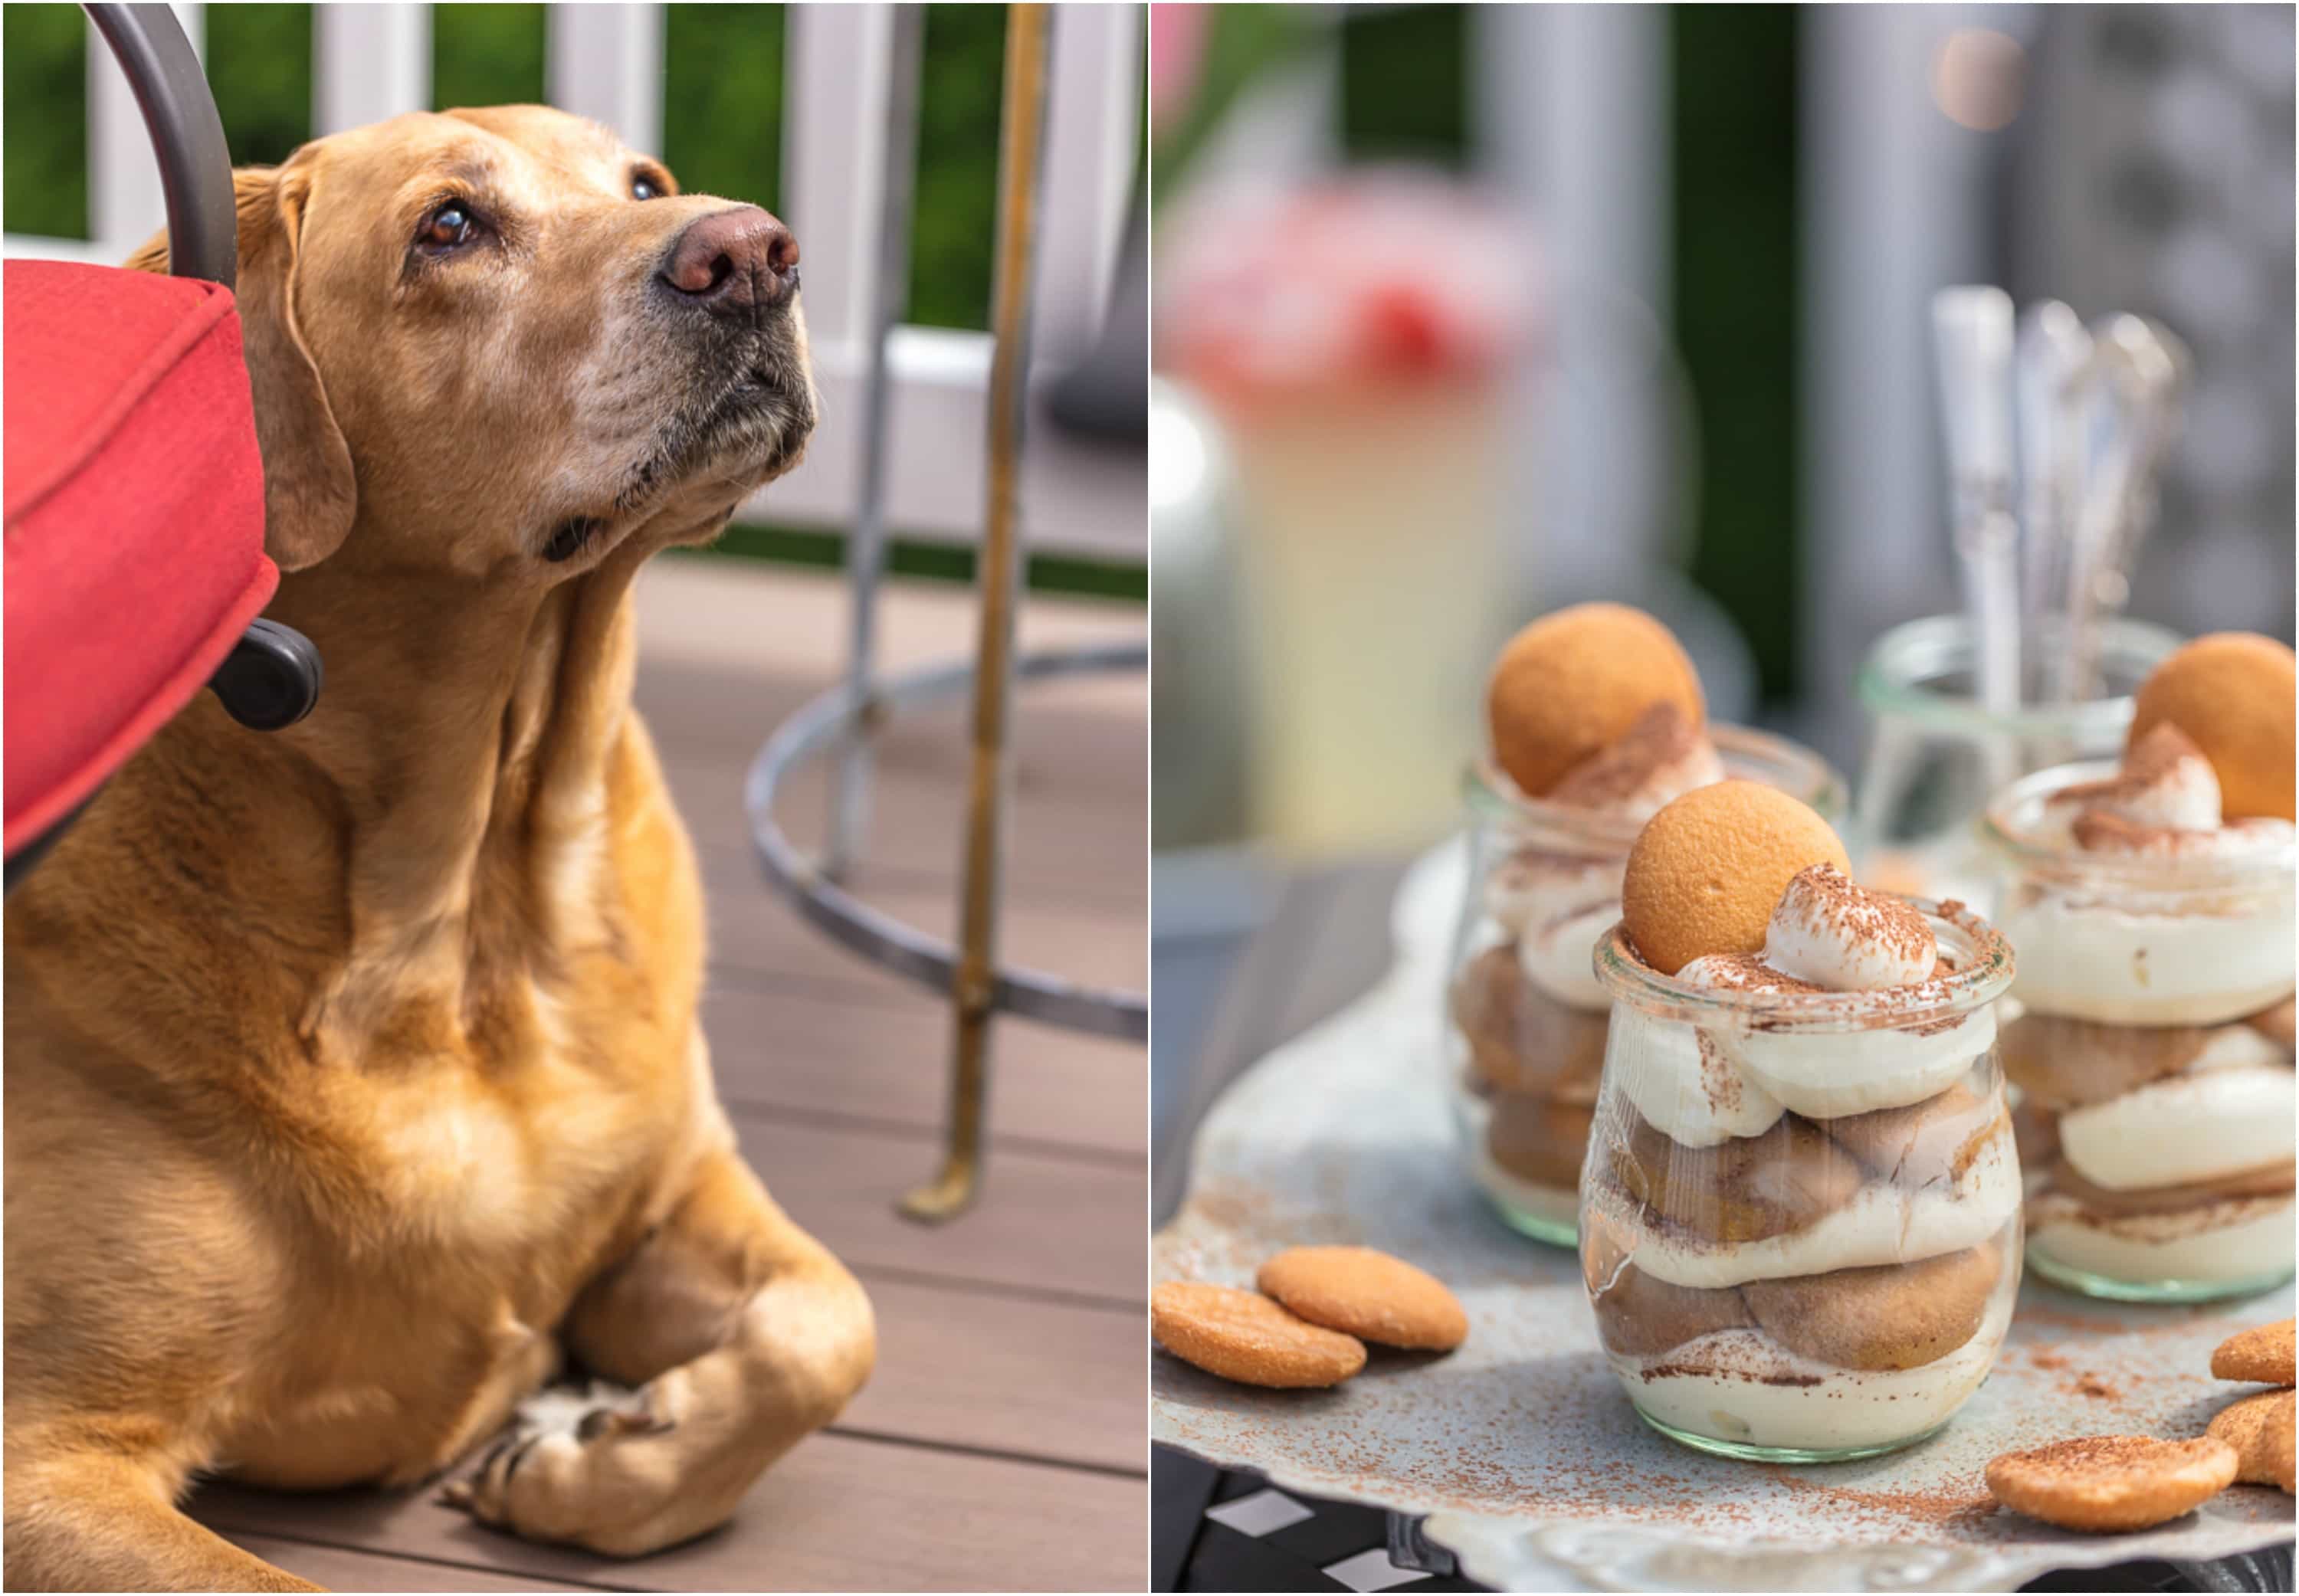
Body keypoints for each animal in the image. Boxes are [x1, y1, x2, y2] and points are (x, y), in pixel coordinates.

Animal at [2, 106, 869, 1591]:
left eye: (644, 181)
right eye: (448, 228)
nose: (751, 249)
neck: (474, 924)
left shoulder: (682, 1181)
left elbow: (830, 1323)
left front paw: (602, 1455)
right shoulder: (42, 1455)